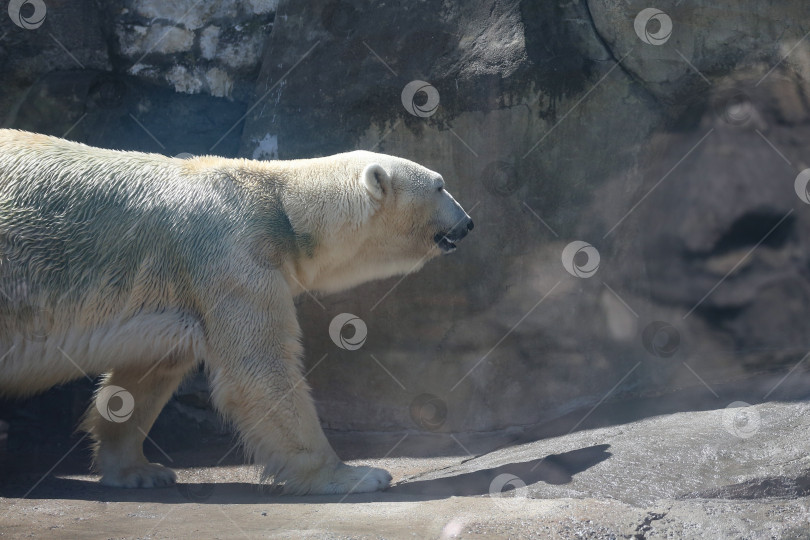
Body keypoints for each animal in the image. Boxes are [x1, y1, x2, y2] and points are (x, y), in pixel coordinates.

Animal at [0, 129, 473, 494]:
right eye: (440, 185)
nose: (468, 222)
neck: (281, 206)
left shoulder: (179, 288)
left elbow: (149, 371)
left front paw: (139, 470)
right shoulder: (232, 255)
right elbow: (260, 370)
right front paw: (356, 475)